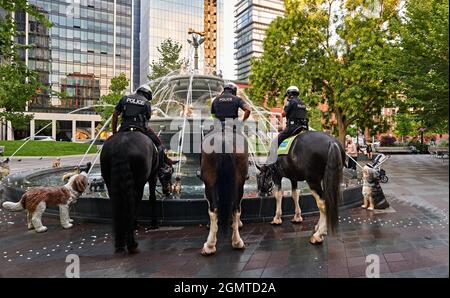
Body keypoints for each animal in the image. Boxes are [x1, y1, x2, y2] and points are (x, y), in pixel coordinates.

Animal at [200, 127, 250, 255]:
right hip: (239, 182)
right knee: (236, 208)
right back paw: (237, 241)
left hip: (210, 181)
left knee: (213, 209)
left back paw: (209, 245)